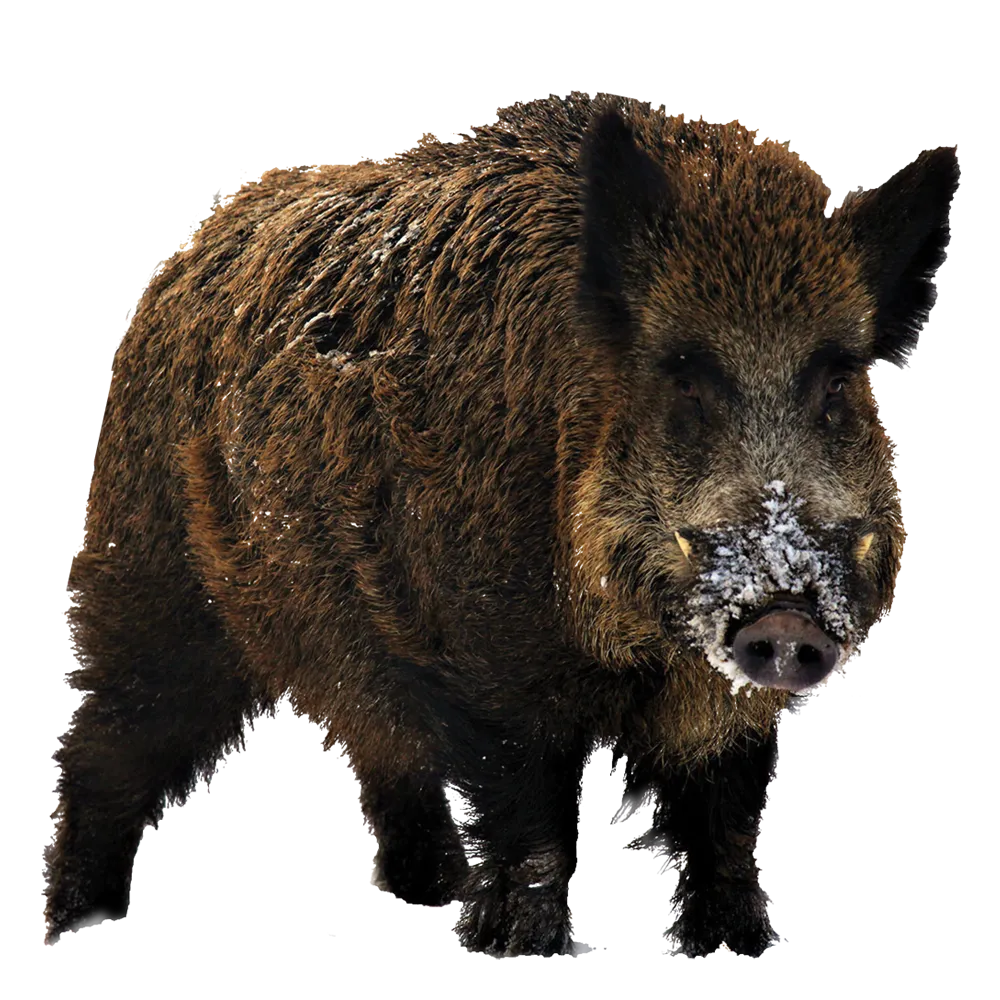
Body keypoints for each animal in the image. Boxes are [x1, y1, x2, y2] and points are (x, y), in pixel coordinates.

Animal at [44, 89, 961, 960]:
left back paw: (428, 894)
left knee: (379, 744)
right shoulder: (490, 659)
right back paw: (76, 930)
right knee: (103, 749)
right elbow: (533, 832)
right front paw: (519, 949)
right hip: (156, 579)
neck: (638, 646)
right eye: (684, 375)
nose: (784, 619)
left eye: (836, 380)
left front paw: (736, 946)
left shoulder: (718, 703)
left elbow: (723, 826)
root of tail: (182, 256)